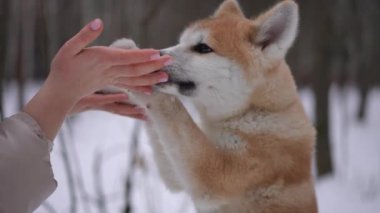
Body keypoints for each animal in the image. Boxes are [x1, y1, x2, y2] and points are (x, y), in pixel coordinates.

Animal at [110, 0, 318, 212]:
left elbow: (171, 106)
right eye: (182, 41)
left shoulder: (214, 174)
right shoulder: (177, 176)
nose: (158, 54)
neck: (255, 111)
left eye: (203, 48)